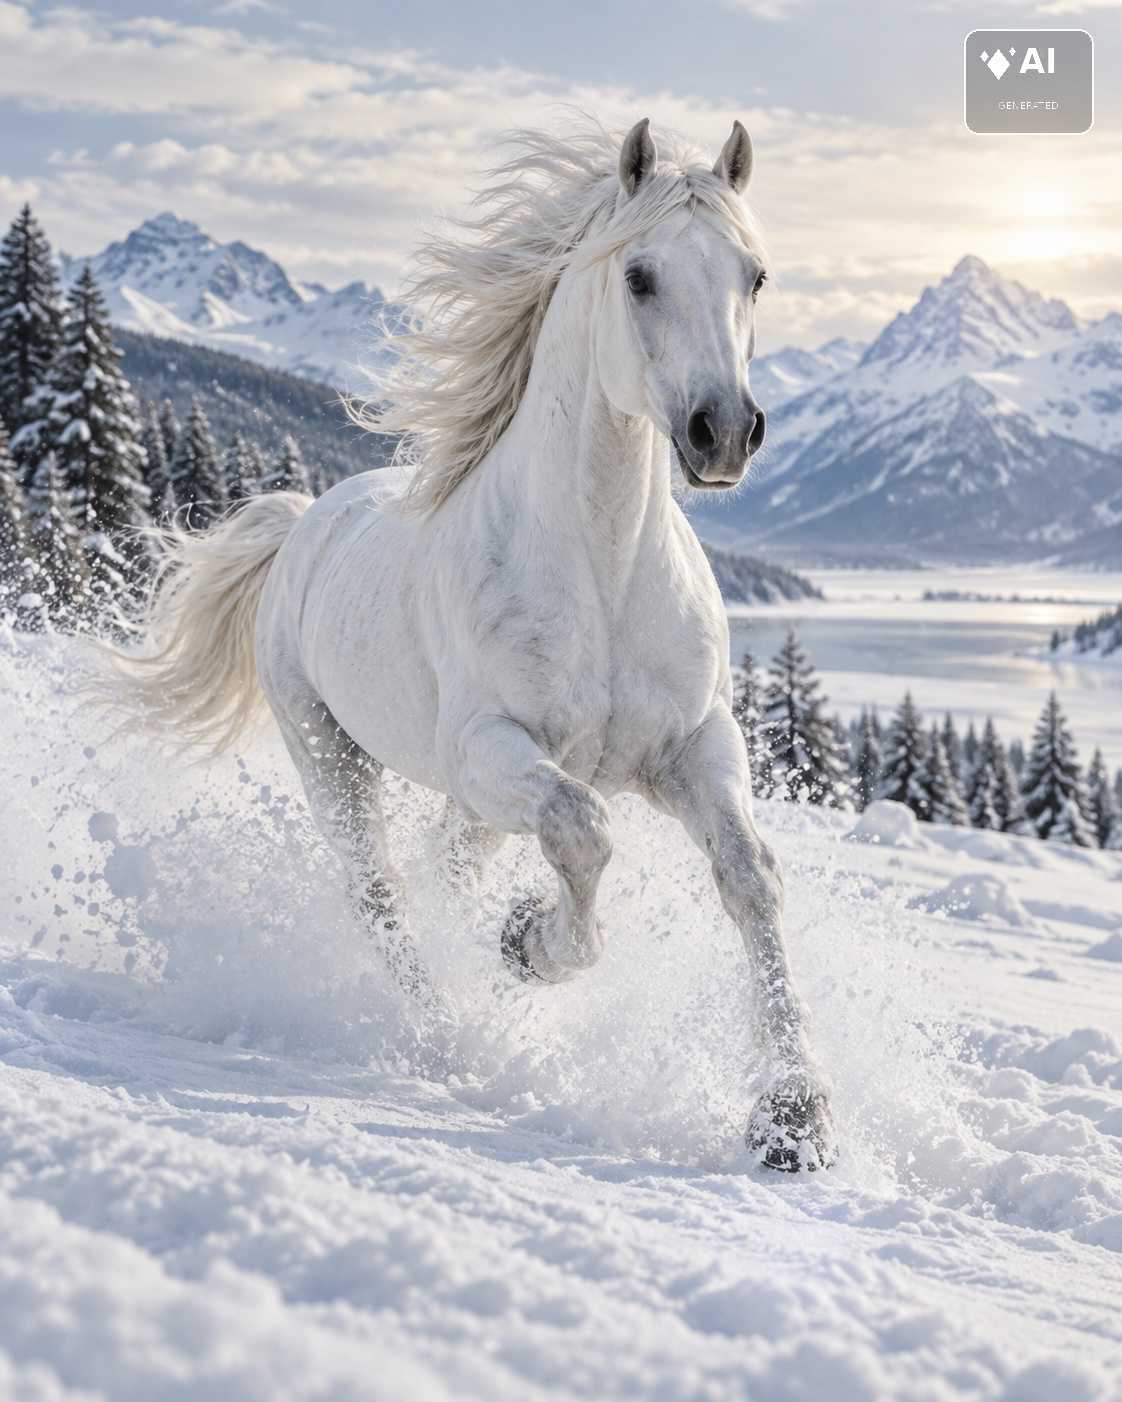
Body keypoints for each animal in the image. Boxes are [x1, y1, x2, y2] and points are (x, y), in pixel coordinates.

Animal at [104, 118, 837, 1172]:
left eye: (757, 275)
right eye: (640, 275)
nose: (724, 433)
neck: (602, 573)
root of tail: (300, 525)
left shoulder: (696, 747)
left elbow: (749, 876)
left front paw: (792, 1119)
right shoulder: (493, 747)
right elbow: (584, 830)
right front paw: (530, 946)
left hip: (473, 802)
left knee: (438, 873)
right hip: (333, 756)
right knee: (382, 896)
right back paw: (438, 1032)